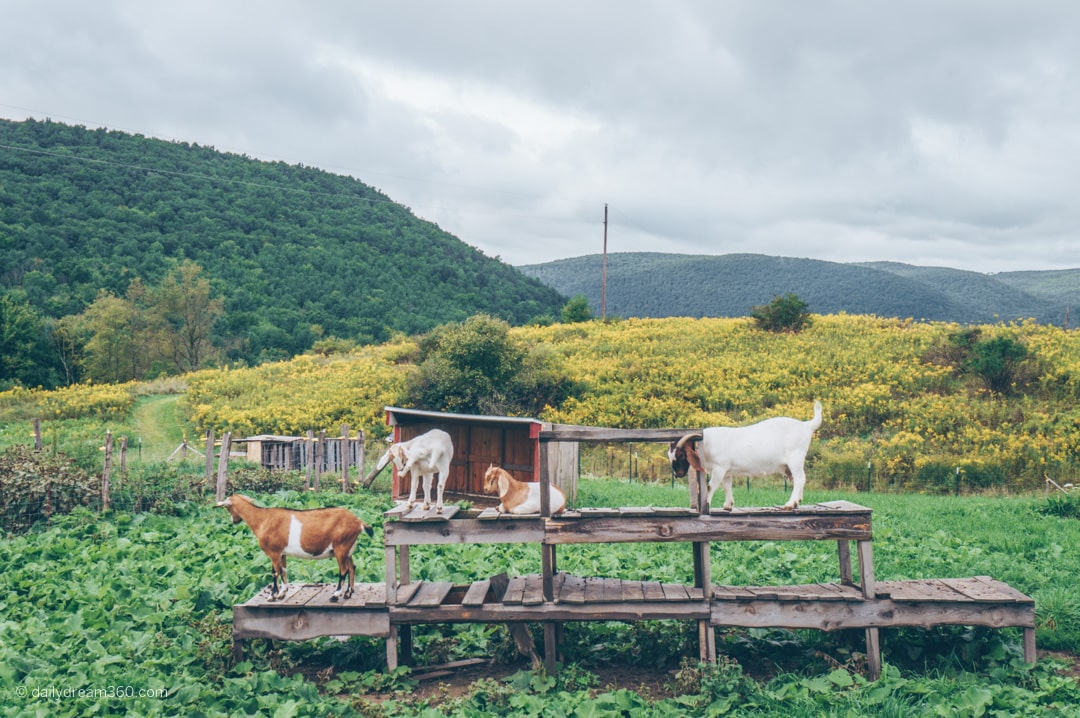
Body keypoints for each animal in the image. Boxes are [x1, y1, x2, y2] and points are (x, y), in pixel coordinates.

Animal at [217, 492, 373, 600]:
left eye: (228, 508)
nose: (234, 521)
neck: (262, 519)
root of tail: (358, 522)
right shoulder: (282, 553)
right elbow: (283, 570)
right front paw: (282, 593)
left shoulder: (273, 552)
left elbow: (274, 572)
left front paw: (272, 596)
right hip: (348, 549)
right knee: (352, 567)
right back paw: (348, 593)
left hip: (340, 547)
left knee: (343, 570)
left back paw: (336, 594)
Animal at [665, 397, 825, 509]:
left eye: (681, 455)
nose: (677, 474)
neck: (706, 444)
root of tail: (806, 425)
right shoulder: (727, 471)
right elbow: (726, 486)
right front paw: (728, 505)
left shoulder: (719, 468)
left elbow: (711, 486)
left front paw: (708, 503)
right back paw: (797, 502)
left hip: (795, 458)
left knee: (800, 478)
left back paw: (790, 504)